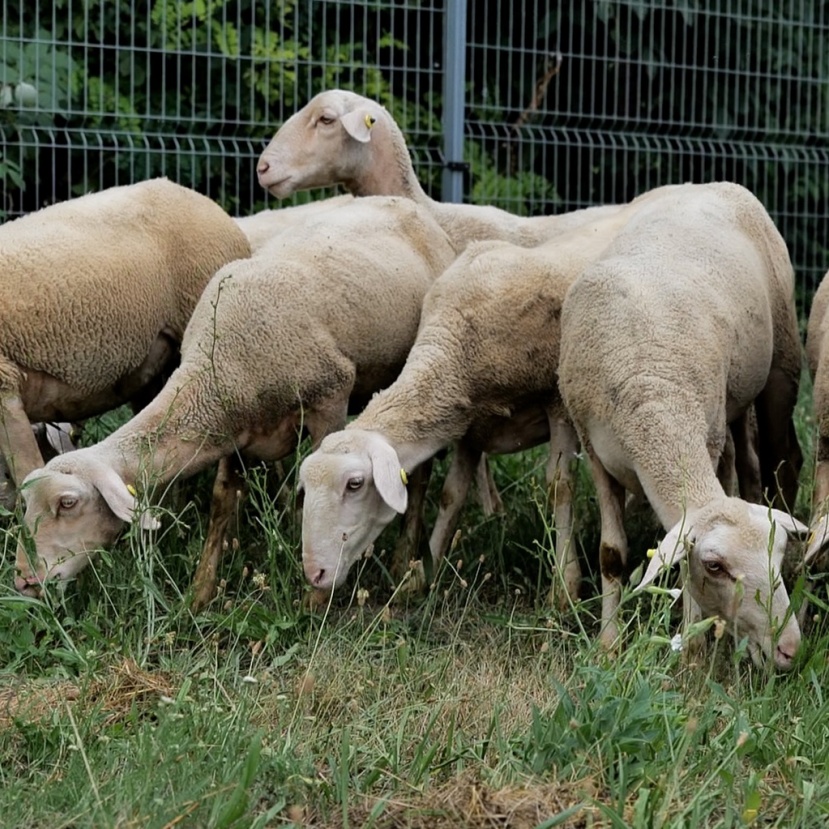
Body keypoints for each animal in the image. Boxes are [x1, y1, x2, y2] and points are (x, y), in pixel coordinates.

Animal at [12, 196, 452, 600]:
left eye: (67, 503)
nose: (22, 580)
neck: (223, 364)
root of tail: (401, 202)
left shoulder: (330, 399)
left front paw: (315, 600)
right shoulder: (234, 428)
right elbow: (222, 503)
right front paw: (199, 596)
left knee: (419, 475)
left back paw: (404, 563)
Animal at [556, 180, 804, 668]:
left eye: (780, 553)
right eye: (716, 566)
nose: (790, 649)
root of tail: (708, 183)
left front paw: (691, 652)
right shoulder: (596, 454)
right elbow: (611, 554)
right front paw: (609, 645)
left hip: (779, 365)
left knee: (774, 460)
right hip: (733, 402)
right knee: (744, 462)